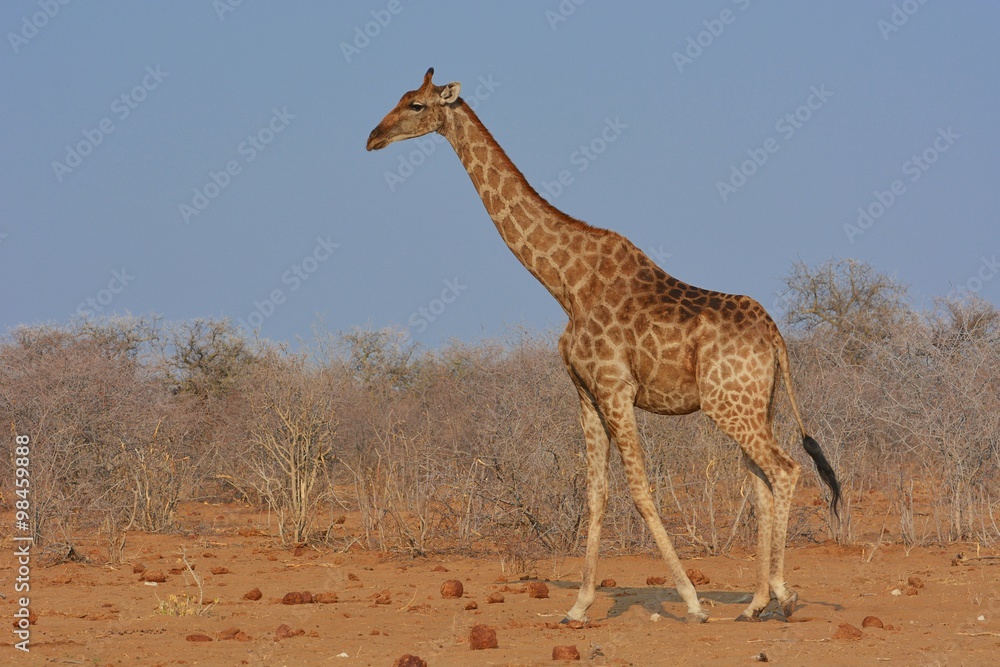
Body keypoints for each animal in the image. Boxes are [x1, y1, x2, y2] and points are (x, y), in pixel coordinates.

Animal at [366, 68, 841, 623]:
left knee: (784, 471)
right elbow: (596, 494)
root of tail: (775, 335)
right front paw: (578, 606)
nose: (372, 138)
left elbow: (640, 489)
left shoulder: (616, 389)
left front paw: (691, 601)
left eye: (416, 106)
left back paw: (784, 595)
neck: (565, 282)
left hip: (731, 405)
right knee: (761, 482)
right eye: (402, 99)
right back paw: (755, 602)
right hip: (755, 404)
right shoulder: (585, 393)